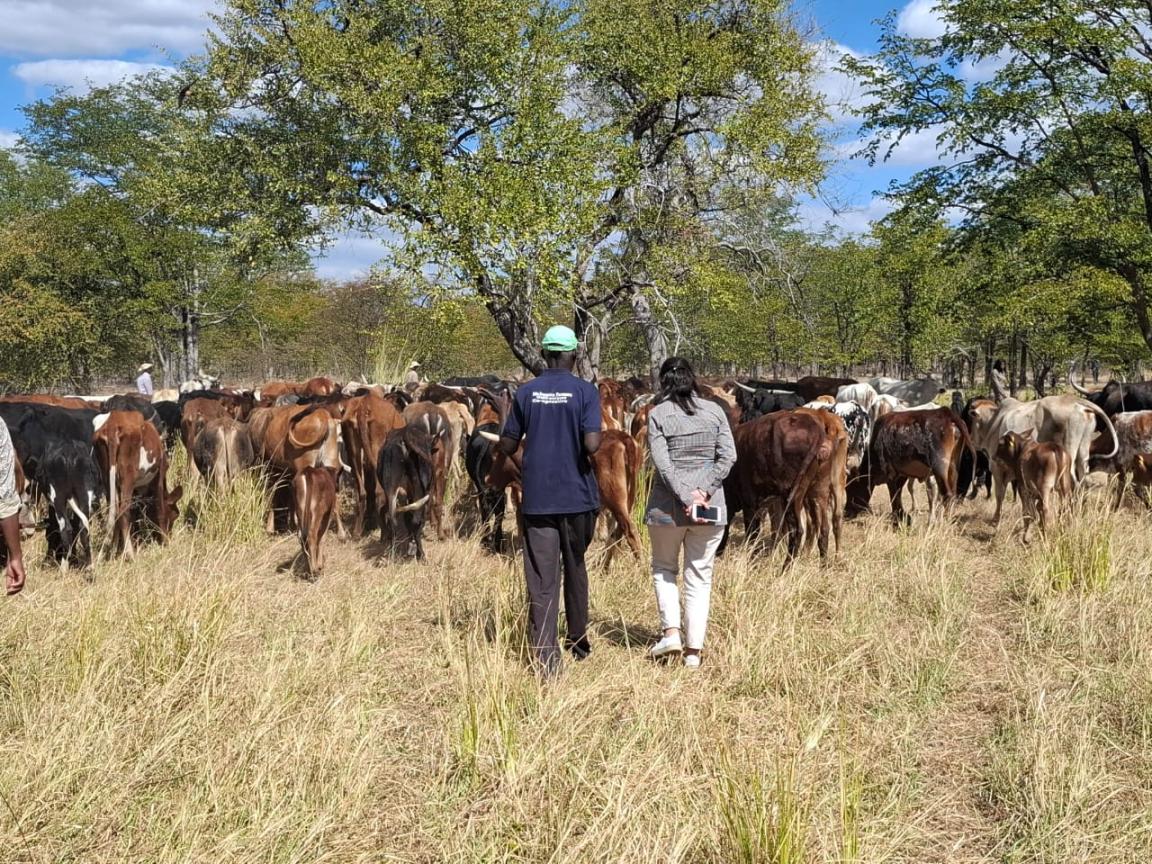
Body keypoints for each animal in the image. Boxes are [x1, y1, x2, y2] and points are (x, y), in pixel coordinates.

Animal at [92, 411, 183, 558]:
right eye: (175, 515)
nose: (170, 535)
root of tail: (112, 424)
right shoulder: (159, 476)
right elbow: (159, 509)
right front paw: (165, 543)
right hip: (127, 476)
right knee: (123, 511)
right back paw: (131, 554)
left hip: (106, 475)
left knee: (115, 510)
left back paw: (113, 550)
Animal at [967, 395, 1118, 524]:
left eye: (972, 420)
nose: (971, 439)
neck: (994, 422)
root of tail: (1076, 402)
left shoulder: (997, 468)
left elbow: (1000, 495)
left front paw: (995, 519)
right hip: (1083, 454)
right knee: (1082, 484)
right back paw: (1079, 514)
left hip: (1069, 454)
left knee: (1072, 485)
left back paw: (1066, 516)